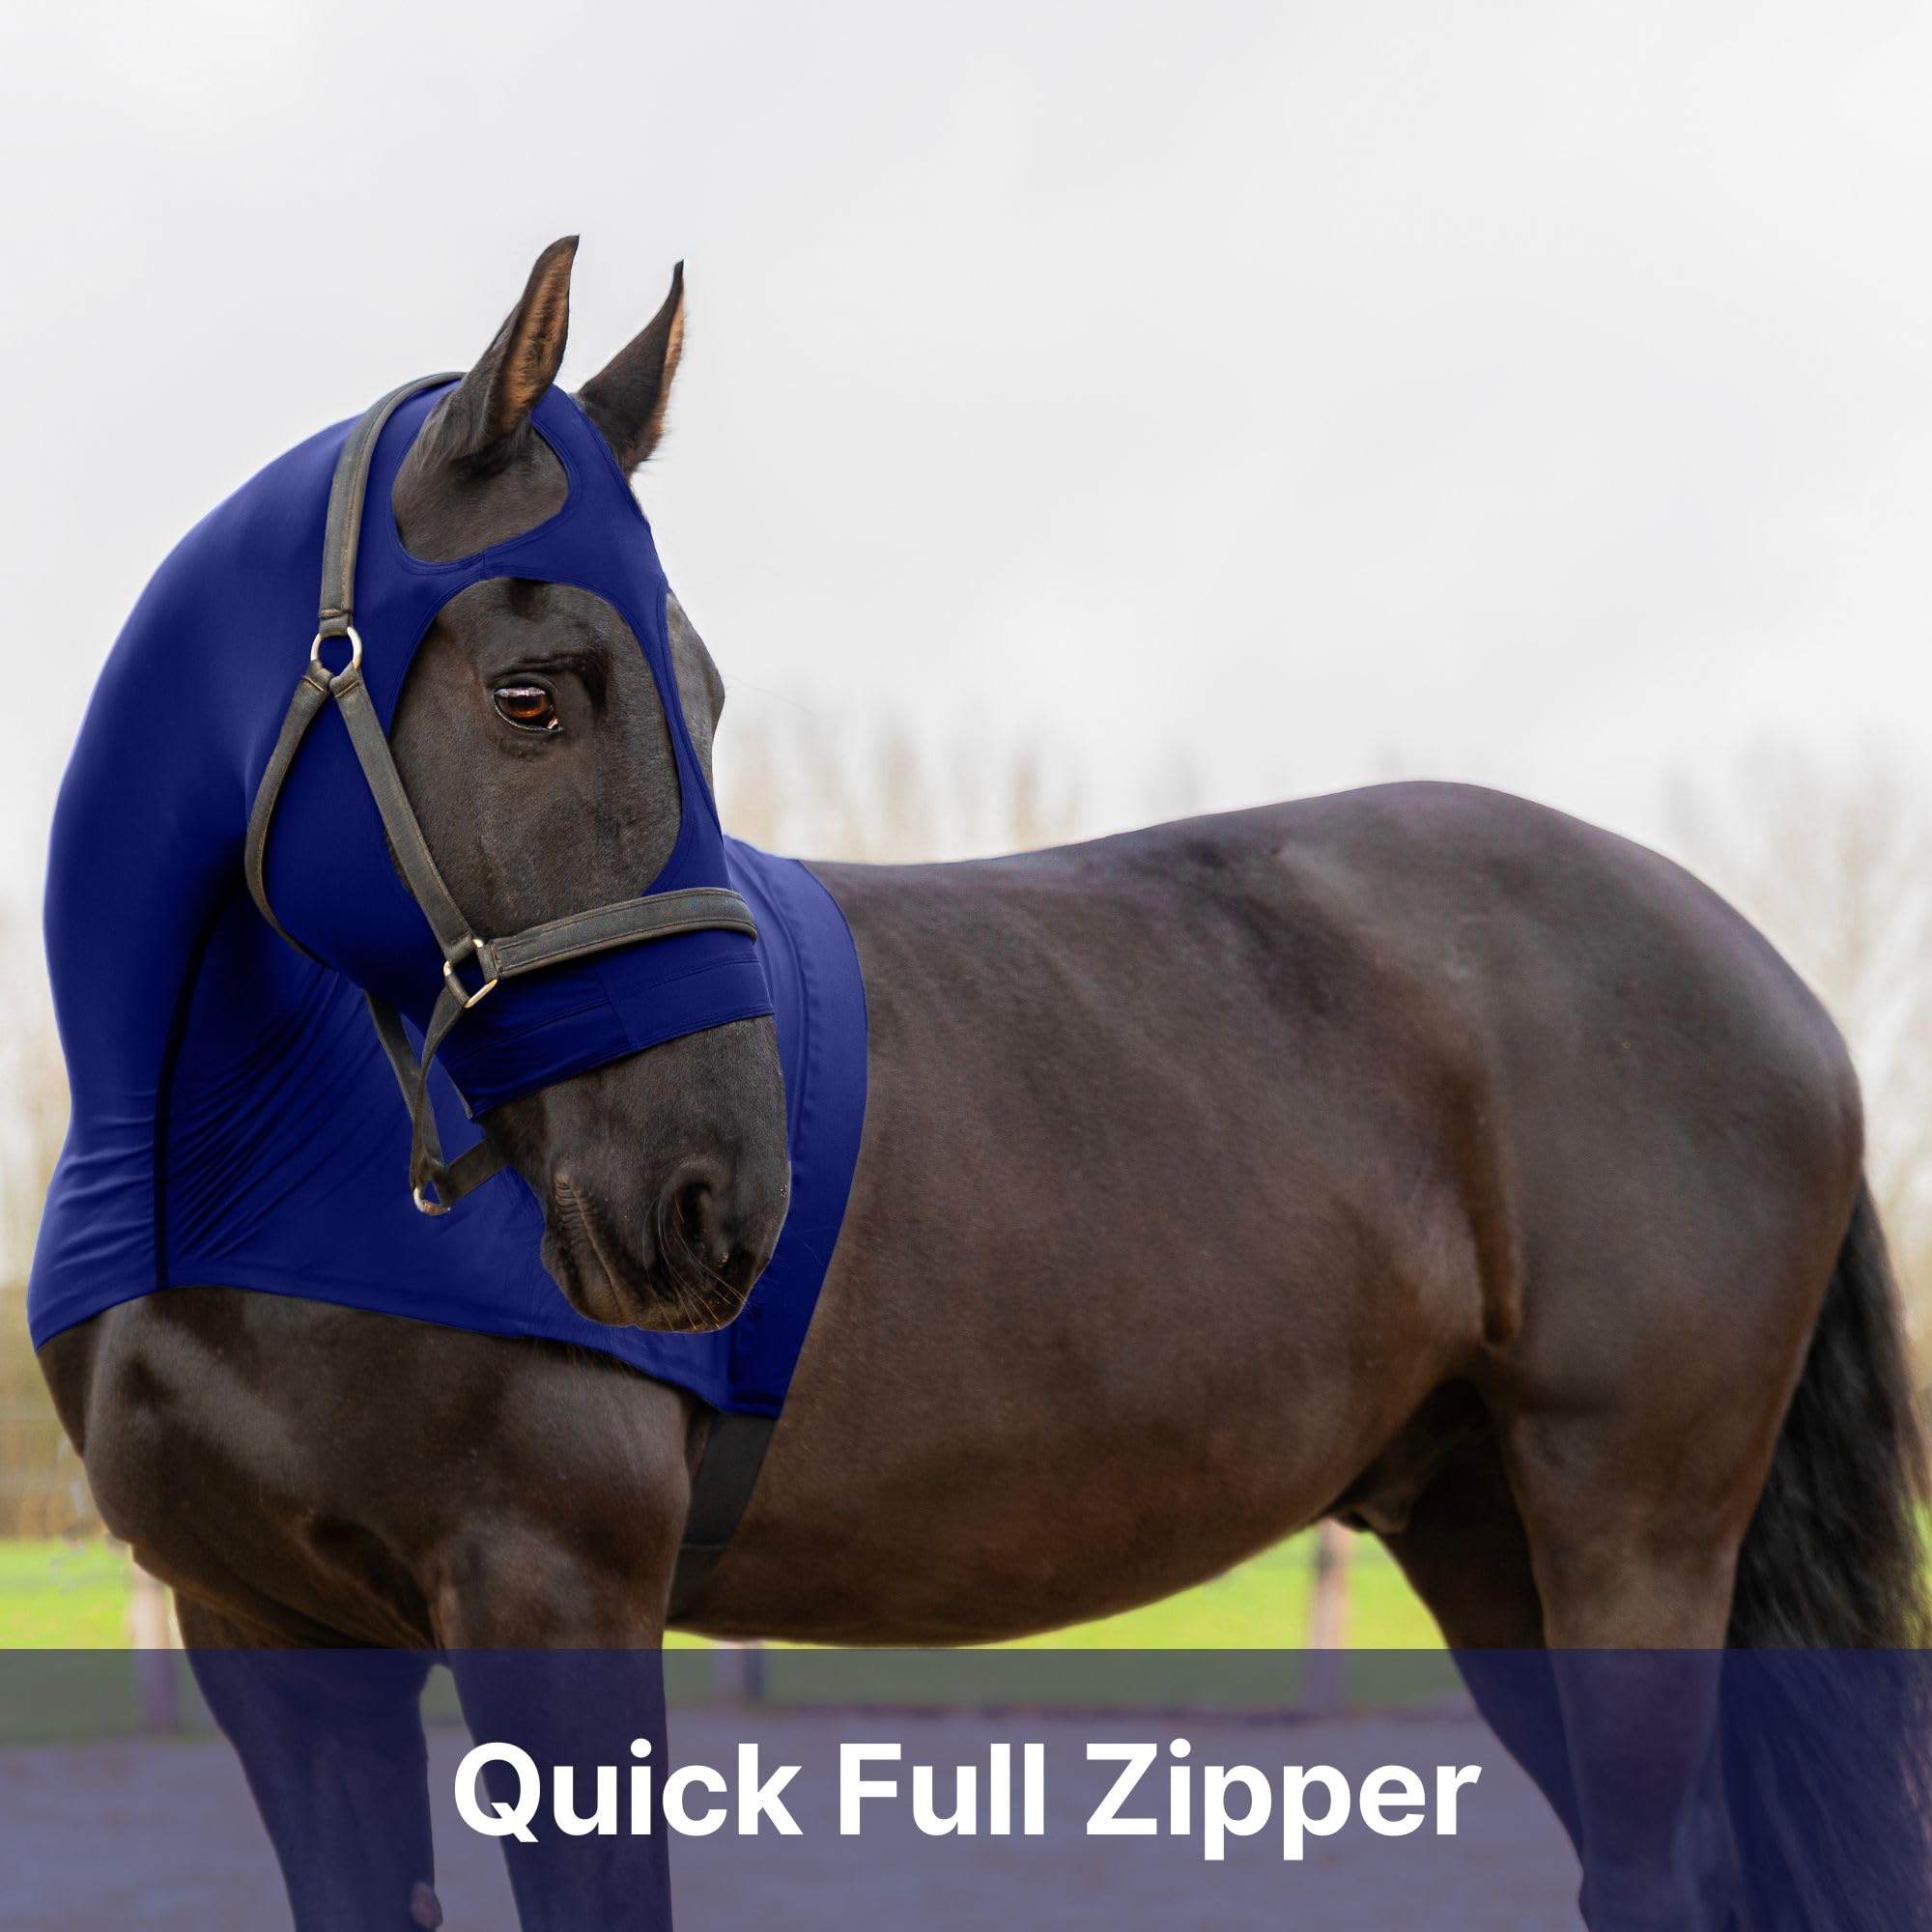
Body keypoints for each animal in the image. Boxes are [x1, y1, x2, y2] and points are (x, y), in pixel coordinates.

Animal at [36, 238, 1928, 1931]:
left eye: (700, 696)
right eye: (531, 696)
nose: (715, 1198)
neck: (232, 1167)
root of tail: (1765, 978)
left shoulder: (552, 1595)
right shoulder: (270, 1647)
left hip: (1632, 1525)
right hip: (1480, 1528)